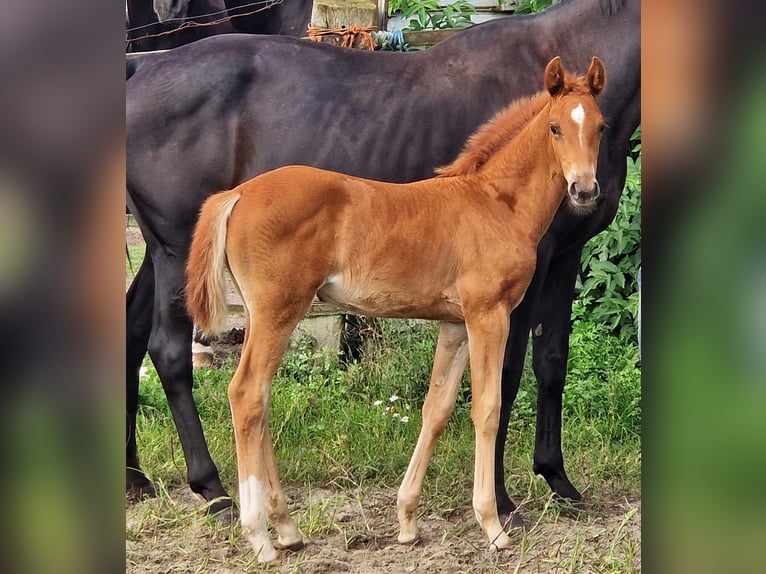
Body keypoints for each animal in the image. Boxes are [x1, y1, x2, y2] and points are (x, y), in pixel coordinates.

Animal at [127, 0, 640, 528]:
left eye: (599, 128)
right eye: (555, 129)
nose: (584, 188)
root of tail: (141, 69)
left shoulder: (564, 257)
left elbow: (550, 362)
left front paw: (559, 481)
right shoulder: (514, 286)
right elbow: (506, 379)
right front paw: (502, 503)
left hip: (168, 255)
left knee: (134, 334)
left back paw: (137, 479)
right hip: (176, 251)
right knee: (173, 353)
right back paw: (214, 490)